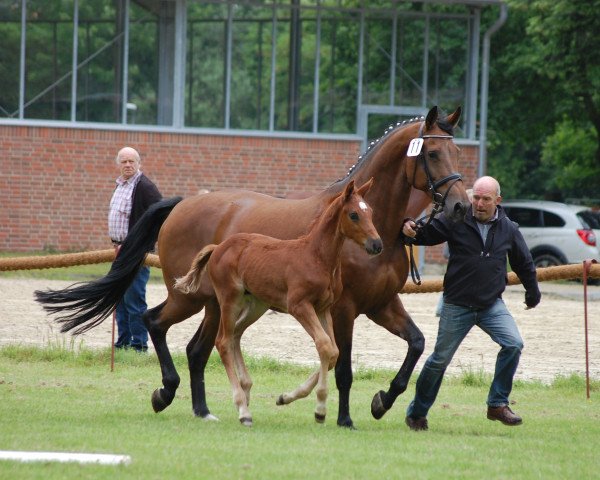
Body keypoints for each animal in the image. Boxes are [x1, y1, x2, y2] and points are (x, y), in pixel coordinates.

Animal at [35, 105, 472, 428]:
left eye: (458, 153)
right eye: (433, 153)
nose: (460, 206)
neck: (373, 224)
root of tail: (183, 203)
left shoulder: (382, 304)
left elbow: (417, 344)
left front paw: (382, 400)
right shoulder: (345, 309)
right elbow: (343, 365)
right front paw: (343, 417)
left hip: (216, 303)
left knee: (199, 348)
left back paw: (203, 409)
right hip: (191, 297)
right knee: (155, 322)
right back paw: (166, 392)